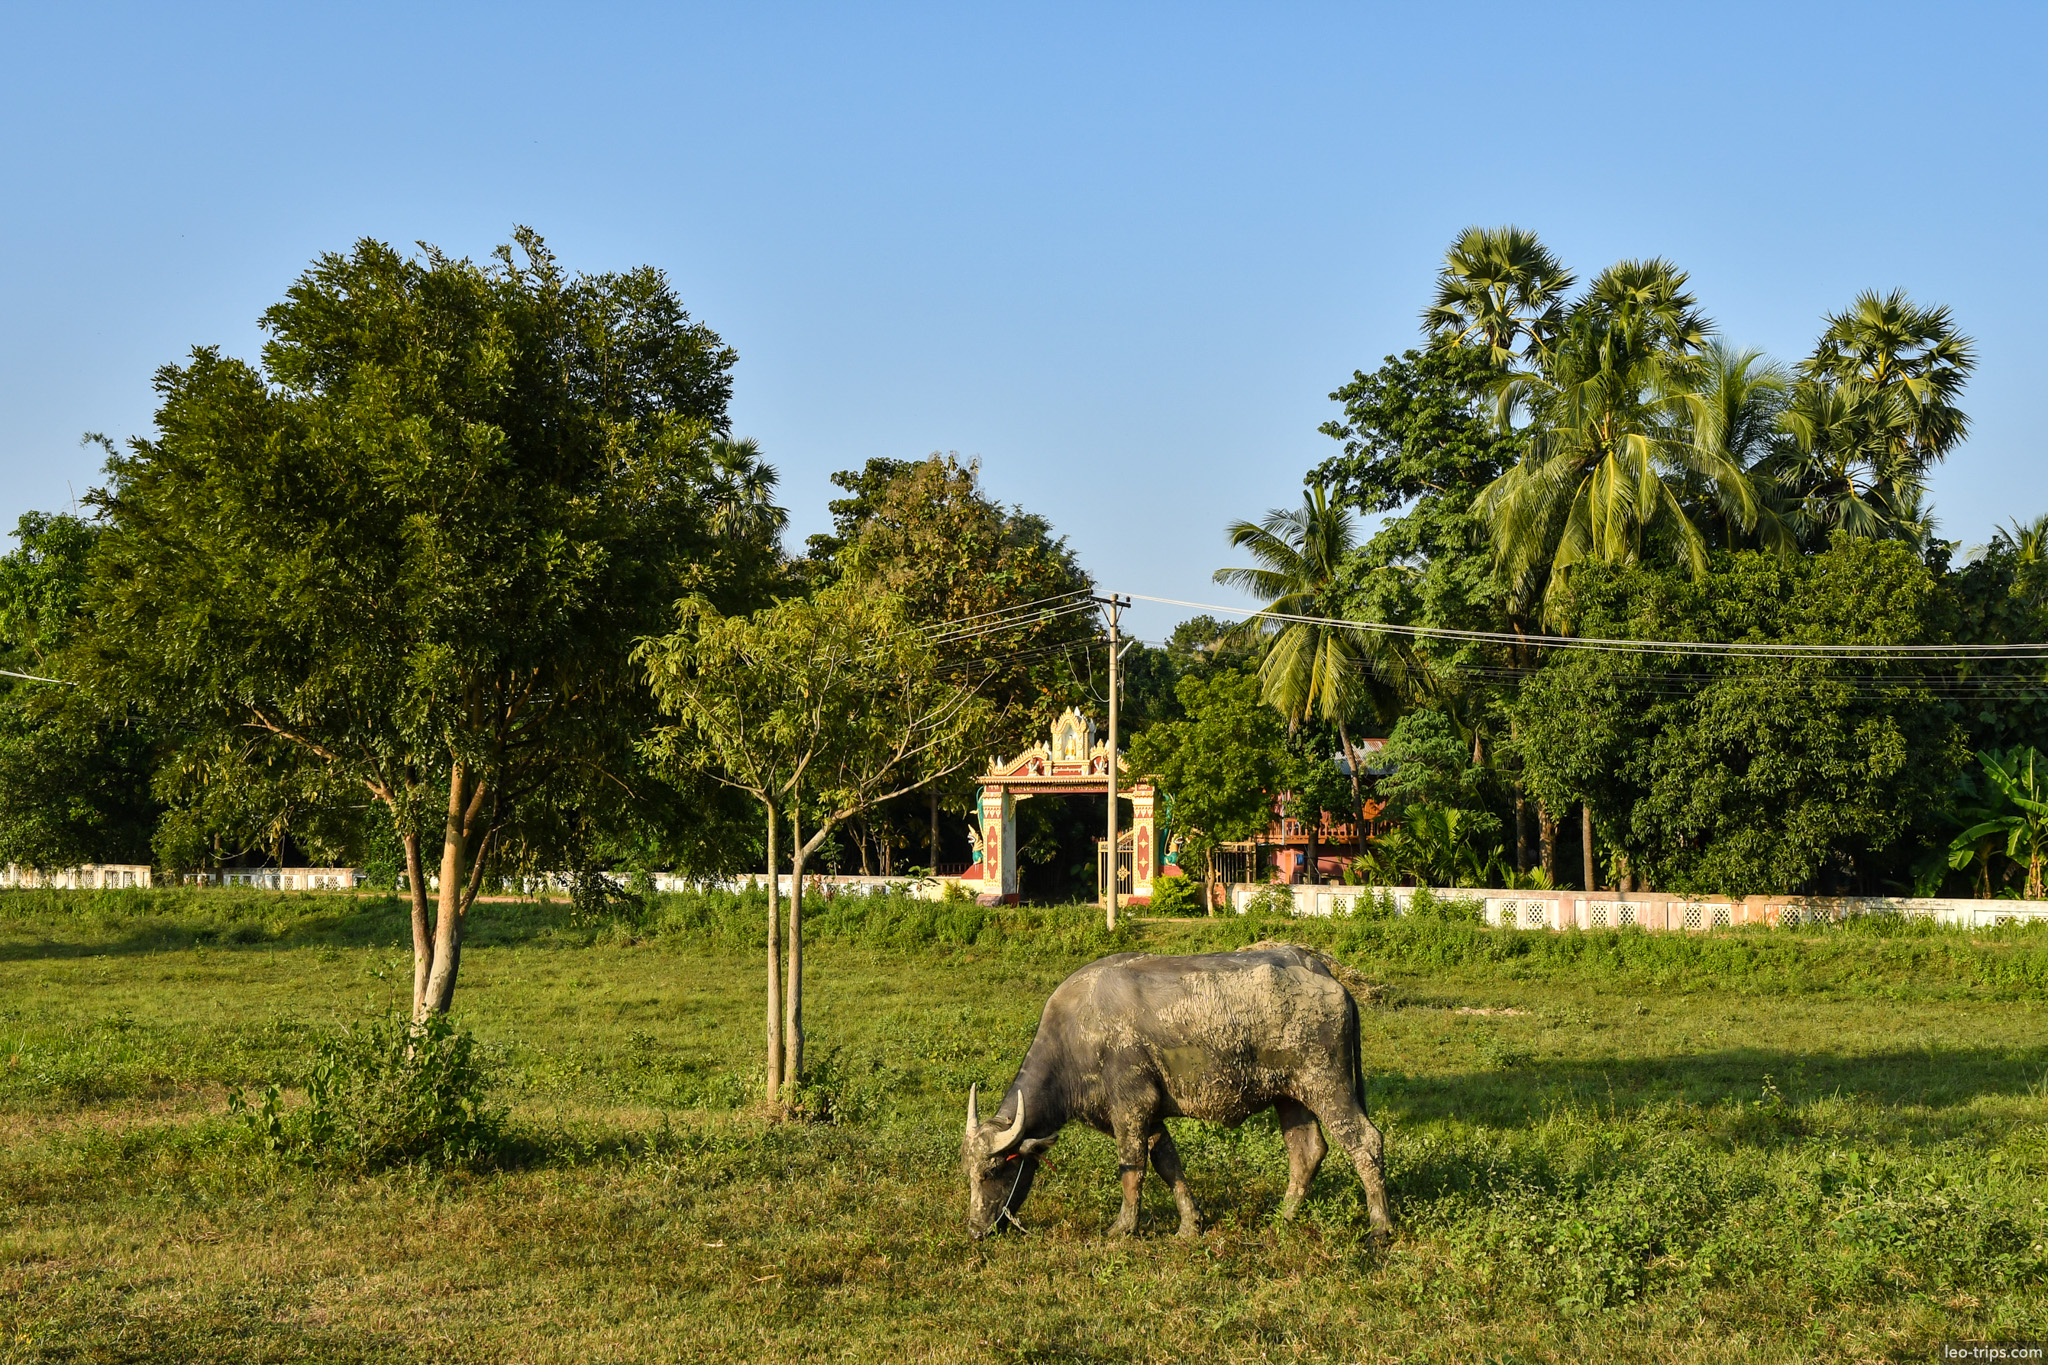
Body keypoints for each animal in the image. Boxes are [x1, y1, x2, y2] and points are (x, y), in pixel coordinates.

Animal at [961, 942, 1392, 1238]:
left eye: (994, 1170)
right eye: (968, 1173)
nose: (976, 1229)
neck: (1075, 1035)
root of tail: (1324, 973)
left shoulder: (1131, 1108)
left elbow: (1131, 1168)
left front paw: (1123, 1227)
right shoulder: (1150, 1117)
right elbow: (1168, 1165)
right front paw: (1190, 1224)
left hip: (1327, 1083)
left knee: (1365, 1142)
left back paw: (1380, 1227)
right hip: (1290, 1096)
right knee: (1307, 1152)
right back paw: (1282, 1217)